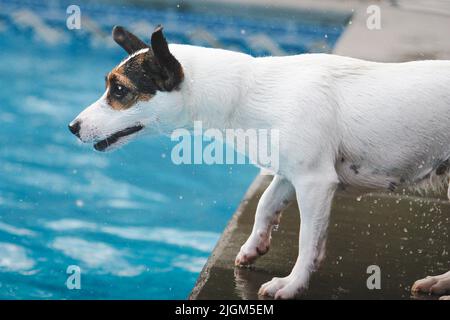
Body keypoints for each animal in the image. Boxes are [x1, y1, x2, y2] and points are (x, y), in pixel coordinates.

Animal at [68, 25, 450, 300]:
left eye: (119, 90)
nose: (72, 127)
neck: (246, 93)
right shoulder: (290, 174)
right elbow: (266, 204)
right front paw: (255, 246)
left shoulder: (314, 181)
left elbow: (307, 239)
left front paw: (292, 284)